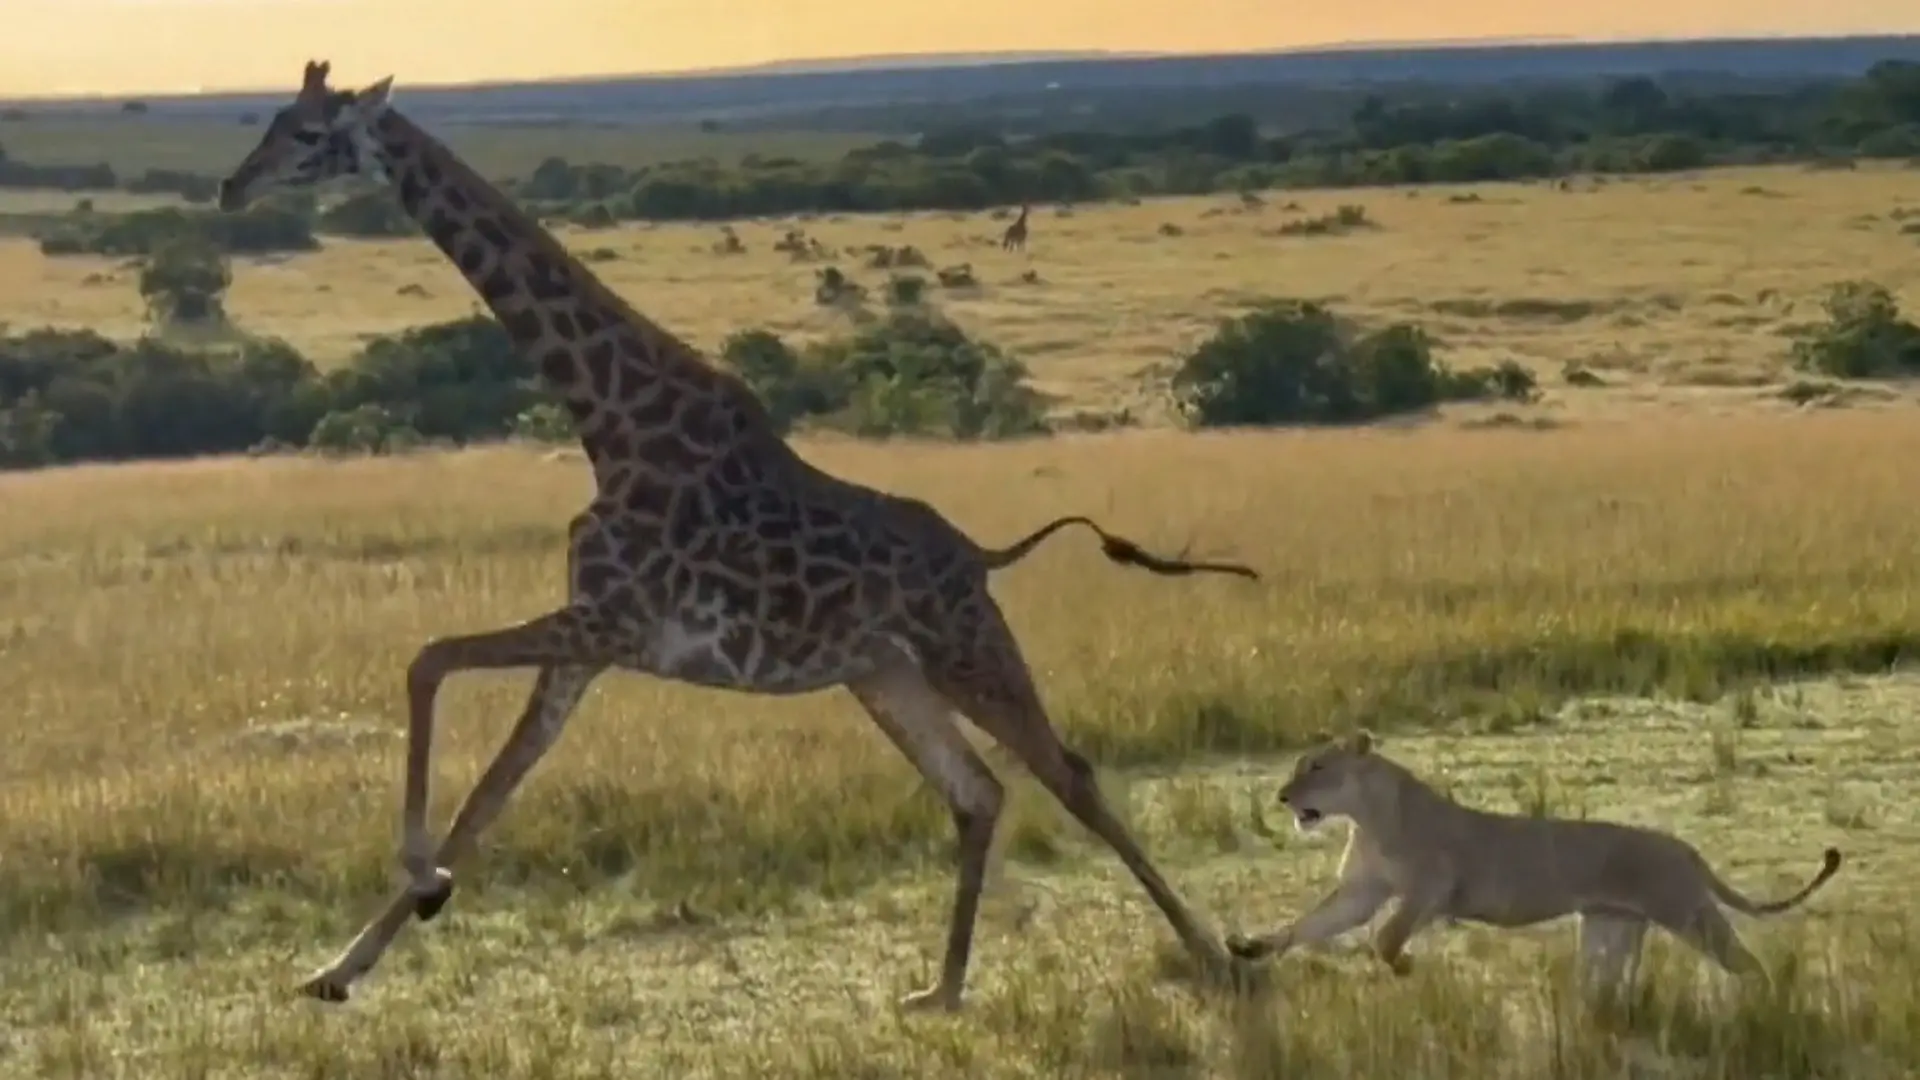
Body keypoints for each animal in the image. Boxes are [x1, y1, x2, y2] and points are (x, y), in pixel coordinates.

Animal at [216, 62, 1260, 1009]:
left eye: (310, 134)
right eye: (267, 119)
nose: (231, 188)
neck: (611, 425)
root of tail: (980, 556)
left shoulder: (609, 622)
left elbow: (428, 662)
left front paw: (416, 878)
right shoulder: (591, 639)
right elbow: (489, 794)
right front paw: (342, 964)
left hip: (965, 649)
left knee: (1068, 774)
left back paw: (1213, 954)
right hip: (882, 672)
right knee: (978, 793)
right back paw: (942, 989)